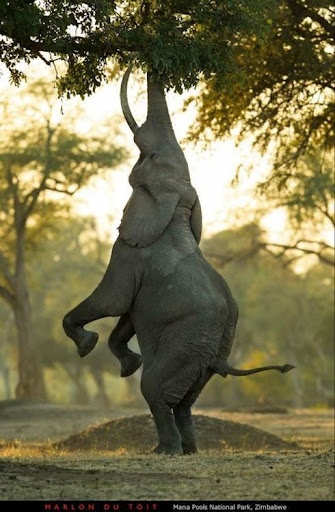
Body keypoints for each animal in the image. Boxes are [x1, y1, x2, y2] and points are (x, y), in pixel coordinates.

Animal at [62, 66, 294, 454]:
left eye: (147, 157)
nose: (138, 61)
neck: (177, 201)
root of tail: (218, 356)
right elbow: (127, 316)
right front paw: (128, 364)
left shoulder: (129, 250)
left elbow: (113, 300)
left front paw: (87, 344)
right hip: (202, 352)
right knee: (185, 400)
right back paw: (189, 449)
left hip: (186, 342)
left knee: (155, 389)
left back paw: (165, 451)